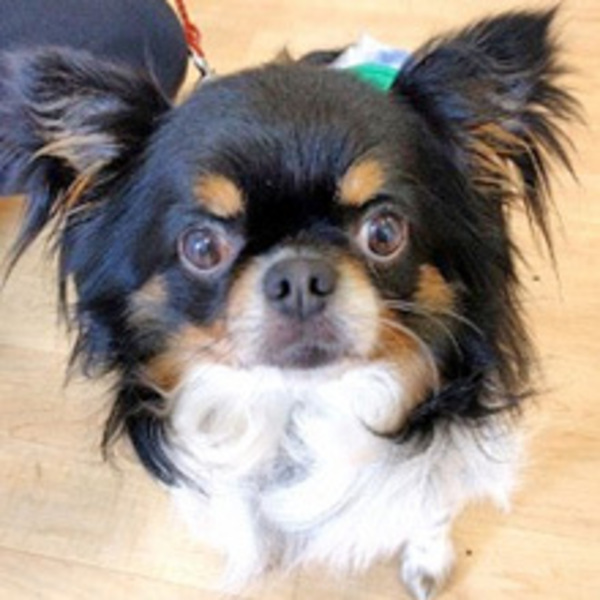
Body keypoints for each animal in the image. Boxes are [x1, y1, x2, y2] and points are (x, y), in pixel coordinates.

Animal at [0, 8, 577, 599]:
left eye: (385, 232)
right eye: (201, 247)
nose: (300, 277)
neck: (300, 407)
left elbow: (432, 507)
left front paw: (427, 561)